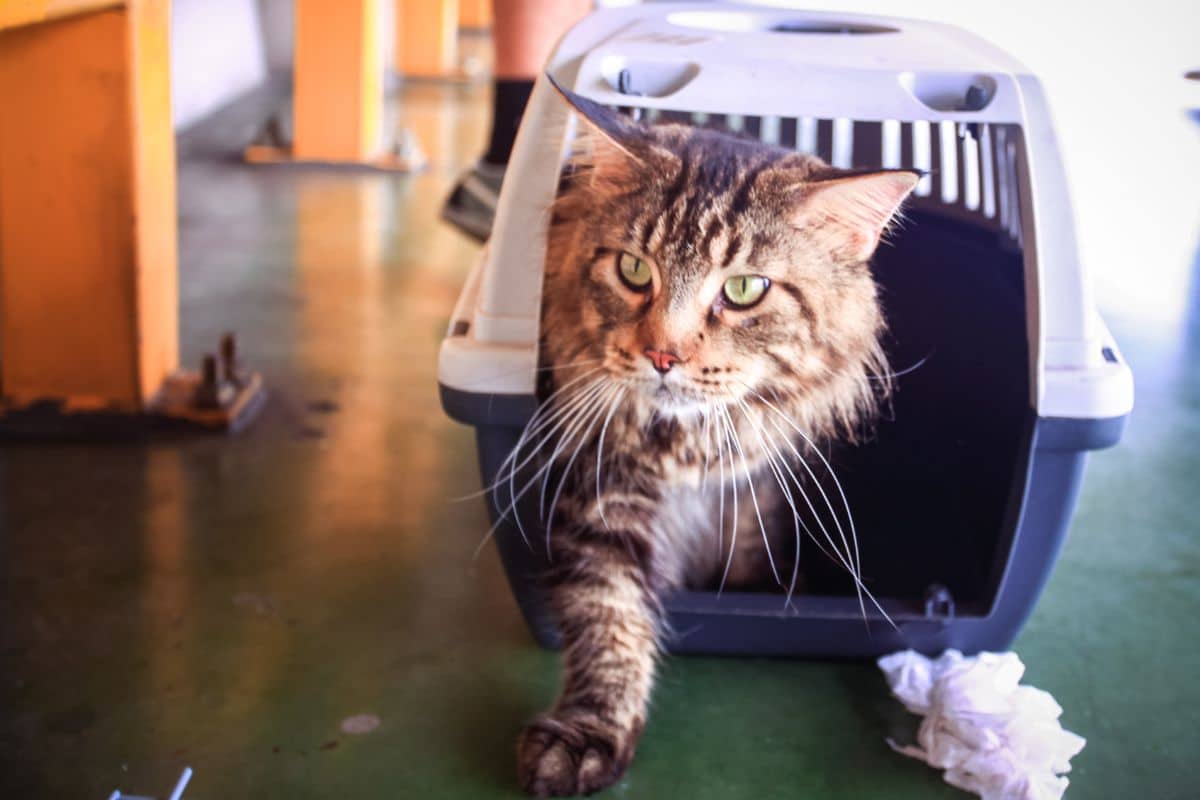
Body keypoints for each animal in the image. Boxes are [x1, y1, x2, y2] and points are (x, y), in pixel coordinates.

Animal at [496, 84, 916, 796]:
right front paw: (586, 734)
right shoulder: (602, 494)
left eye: (744, 289)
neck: (684, 455)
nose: (663, 356)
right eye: (634, 270)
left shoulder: (749, 511)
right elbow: (610, 618)